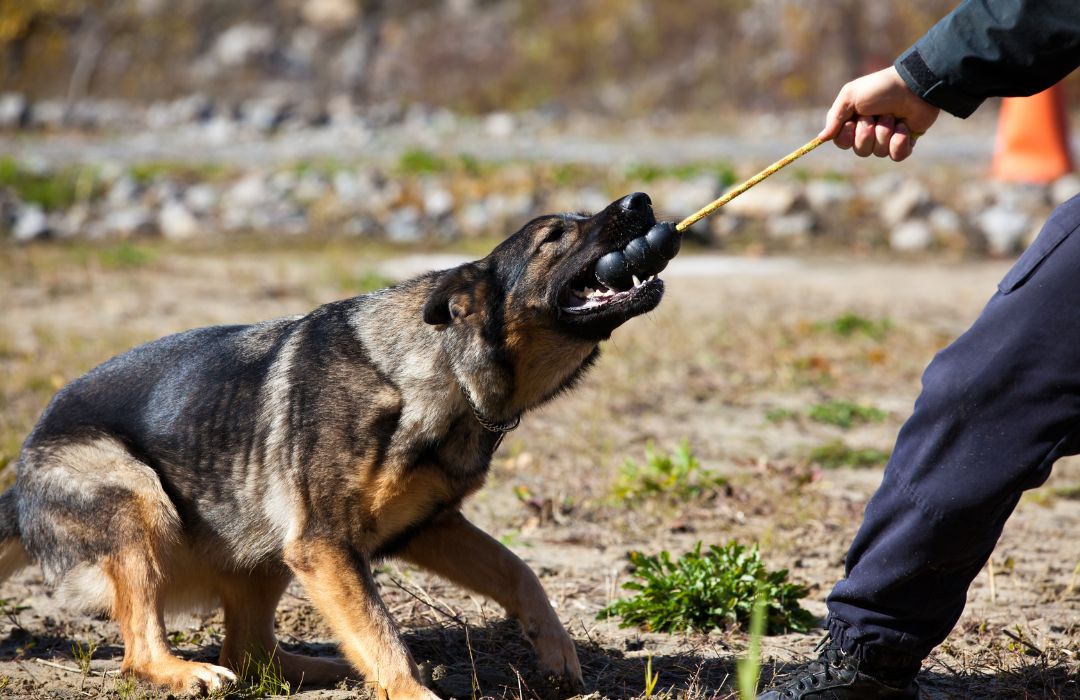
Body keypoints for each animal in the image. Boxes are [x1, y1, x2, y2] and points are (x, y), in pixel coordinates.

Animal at [0, 191, 669, 700]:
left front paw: (555, 649)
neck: (436, 368)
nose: (640, 201)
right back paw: (185, 672)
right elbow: (381, 632)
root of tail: (22, 472)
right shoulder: (325, 545)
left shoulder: (426, 527)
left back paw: (330, 670)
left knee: (251, 652)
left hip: (265, 539)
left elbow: (518, 570)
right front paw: (412, 692)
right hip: (144, 501)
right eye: (554, 236)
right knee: (143, 651)